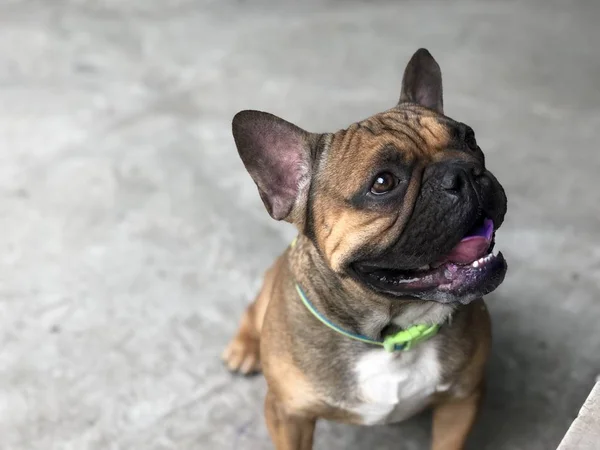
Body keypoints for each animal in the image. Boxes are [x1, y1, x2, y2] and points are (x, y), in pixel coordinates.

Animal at [220, 49, 506, 450]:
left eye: (470, 139)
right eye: (383, 182)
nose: (463, 172)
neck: (394, 333)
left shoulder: (462, 400)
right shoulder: (287, 415)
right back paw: (244, 349)